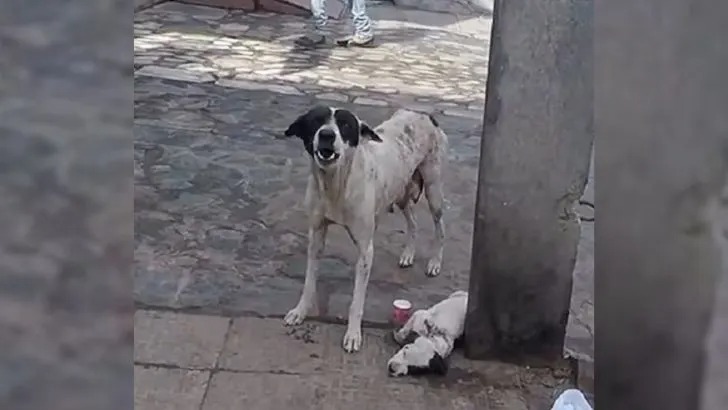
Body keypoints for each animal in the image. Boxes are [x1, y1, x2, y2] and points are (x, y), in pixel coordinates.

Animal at [280, 105, 446, 352]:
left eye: (345, 125)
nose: (327, 134)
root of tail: (423, 113)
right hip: (401, 194)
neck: (336, 184)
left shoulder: (365, 251)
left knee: (440, 227)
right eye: (316, 120)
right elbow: (309, 282)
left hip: (433, 190)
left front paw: (353, 335)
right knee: (413, 222)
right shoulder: (316, 236)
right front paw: (300, 311)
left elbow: (356, 302)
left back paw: (435, 262)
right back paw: (408, 254)